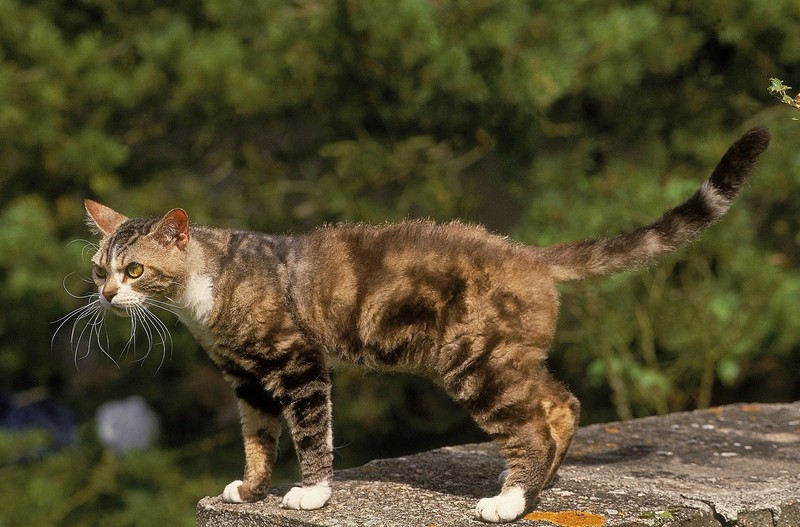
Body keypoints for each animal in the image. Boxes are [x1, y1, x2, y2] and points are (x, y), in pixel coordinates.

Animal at [72, 125, 772, 524]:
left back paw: (509, 502)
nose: (106, 294)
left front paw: (311, 494)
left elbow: (310, 432)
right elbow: (257, 438)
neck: (206, 296)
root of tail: (529, 252)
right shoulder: (246, 380)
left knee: (531, 421)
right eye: (99, 267)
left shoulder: (298, 364)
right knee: (561, 403)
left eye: (134, 269)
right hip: (508, 357)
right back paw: (535, 489)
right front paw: (250, 489)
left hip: (475, 362)